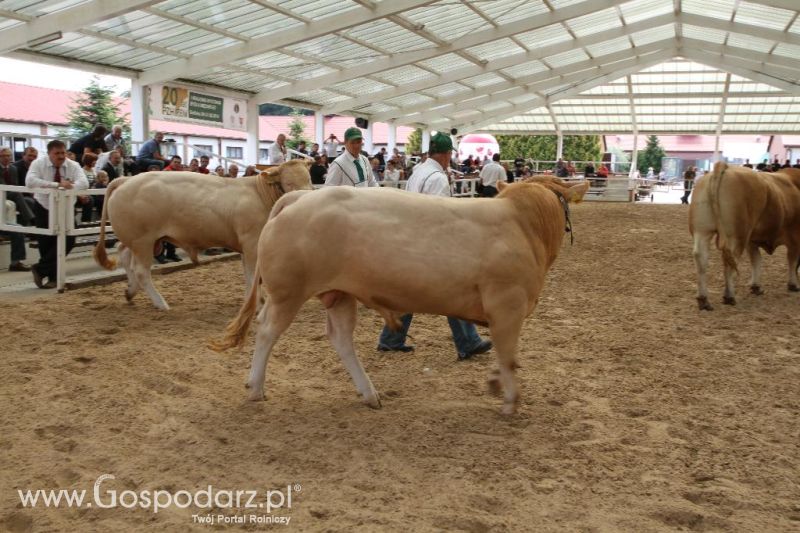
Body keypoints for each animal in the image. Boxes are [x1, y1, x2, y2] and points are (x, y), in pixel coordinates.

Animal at [94, 160, 312, 310]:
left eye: (309, 180)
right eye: (288, 183)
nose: (304, 200)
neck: (260, 194)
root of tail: (127, 179)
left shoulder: (246, 247)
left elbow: (249, 276)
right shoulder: (251, 243)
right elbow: (253, 275)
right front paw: (256, 304)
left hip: (138, 240)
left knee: (124, 254)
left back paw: (130, 292)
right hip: (143, 241)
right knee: (140, 270)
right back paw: (161, 303)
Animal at [211, 177, 588, 414]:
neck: (524, 227)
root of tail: (300, 196)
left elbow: (502, 355)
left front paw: (496, 383)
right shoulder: (507, 304)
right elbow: (508, 355)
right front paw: (510, 400)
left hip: (339, 293)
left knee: (340, 338)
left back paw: (369, 394)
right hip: (287, 292)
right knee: (266, 331)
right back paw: (256, 388)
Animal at [688, 160, 800, 310]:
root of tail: (724, 166)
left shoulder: (752, 241)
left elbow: (756, 260)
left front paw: (756, 286)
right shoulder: (795, 237)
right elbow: (792, 261)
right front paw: (793, 284)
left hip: (702, 231)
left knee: (701, 258)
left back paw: (703, 300)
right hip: (736, 236)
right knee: (730, 261)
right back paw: (729, 296)